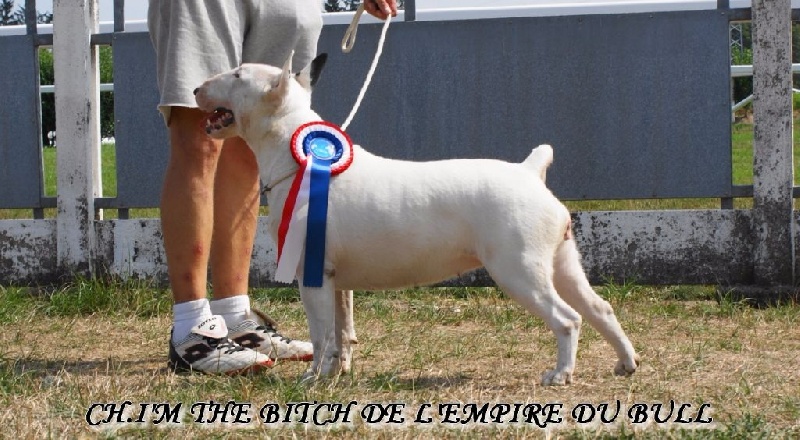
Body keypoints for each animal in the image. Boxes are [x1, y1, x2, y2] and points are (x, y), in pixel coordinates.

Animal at [194, 53, 640, 385]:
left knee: (568, 319)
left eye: (237, 75)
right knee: (599, 308)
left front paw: (312, 379)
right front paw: (337, 374)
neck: (298, 157)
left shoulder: (311, 273)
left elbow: (321, 335)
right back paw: (625, 363)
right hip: (562, 262)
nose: (196, 89)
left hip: (519, 269)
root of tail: (529, 172)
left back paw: (560, 374)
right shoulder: (334, 277)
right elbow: (342, 331)